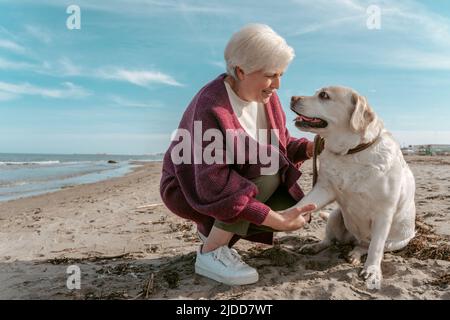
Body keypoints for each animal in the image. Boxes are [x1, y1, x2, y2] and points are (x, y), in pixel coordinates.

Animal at [290, 87, 416, 290]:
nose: (292, 98)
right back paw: (315, 247)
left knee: (366, 246)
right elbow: (300, 205)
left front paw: (373, 271)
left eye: (324, 95)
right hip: (335, 216)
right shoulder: (324, 188)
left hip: (396, 242)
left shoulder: (384, 213)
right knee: (329, 240)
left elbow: (376, 248)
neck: (350, 152)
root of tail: (353, 239)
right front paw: (277, 217)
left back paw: (355, 254)